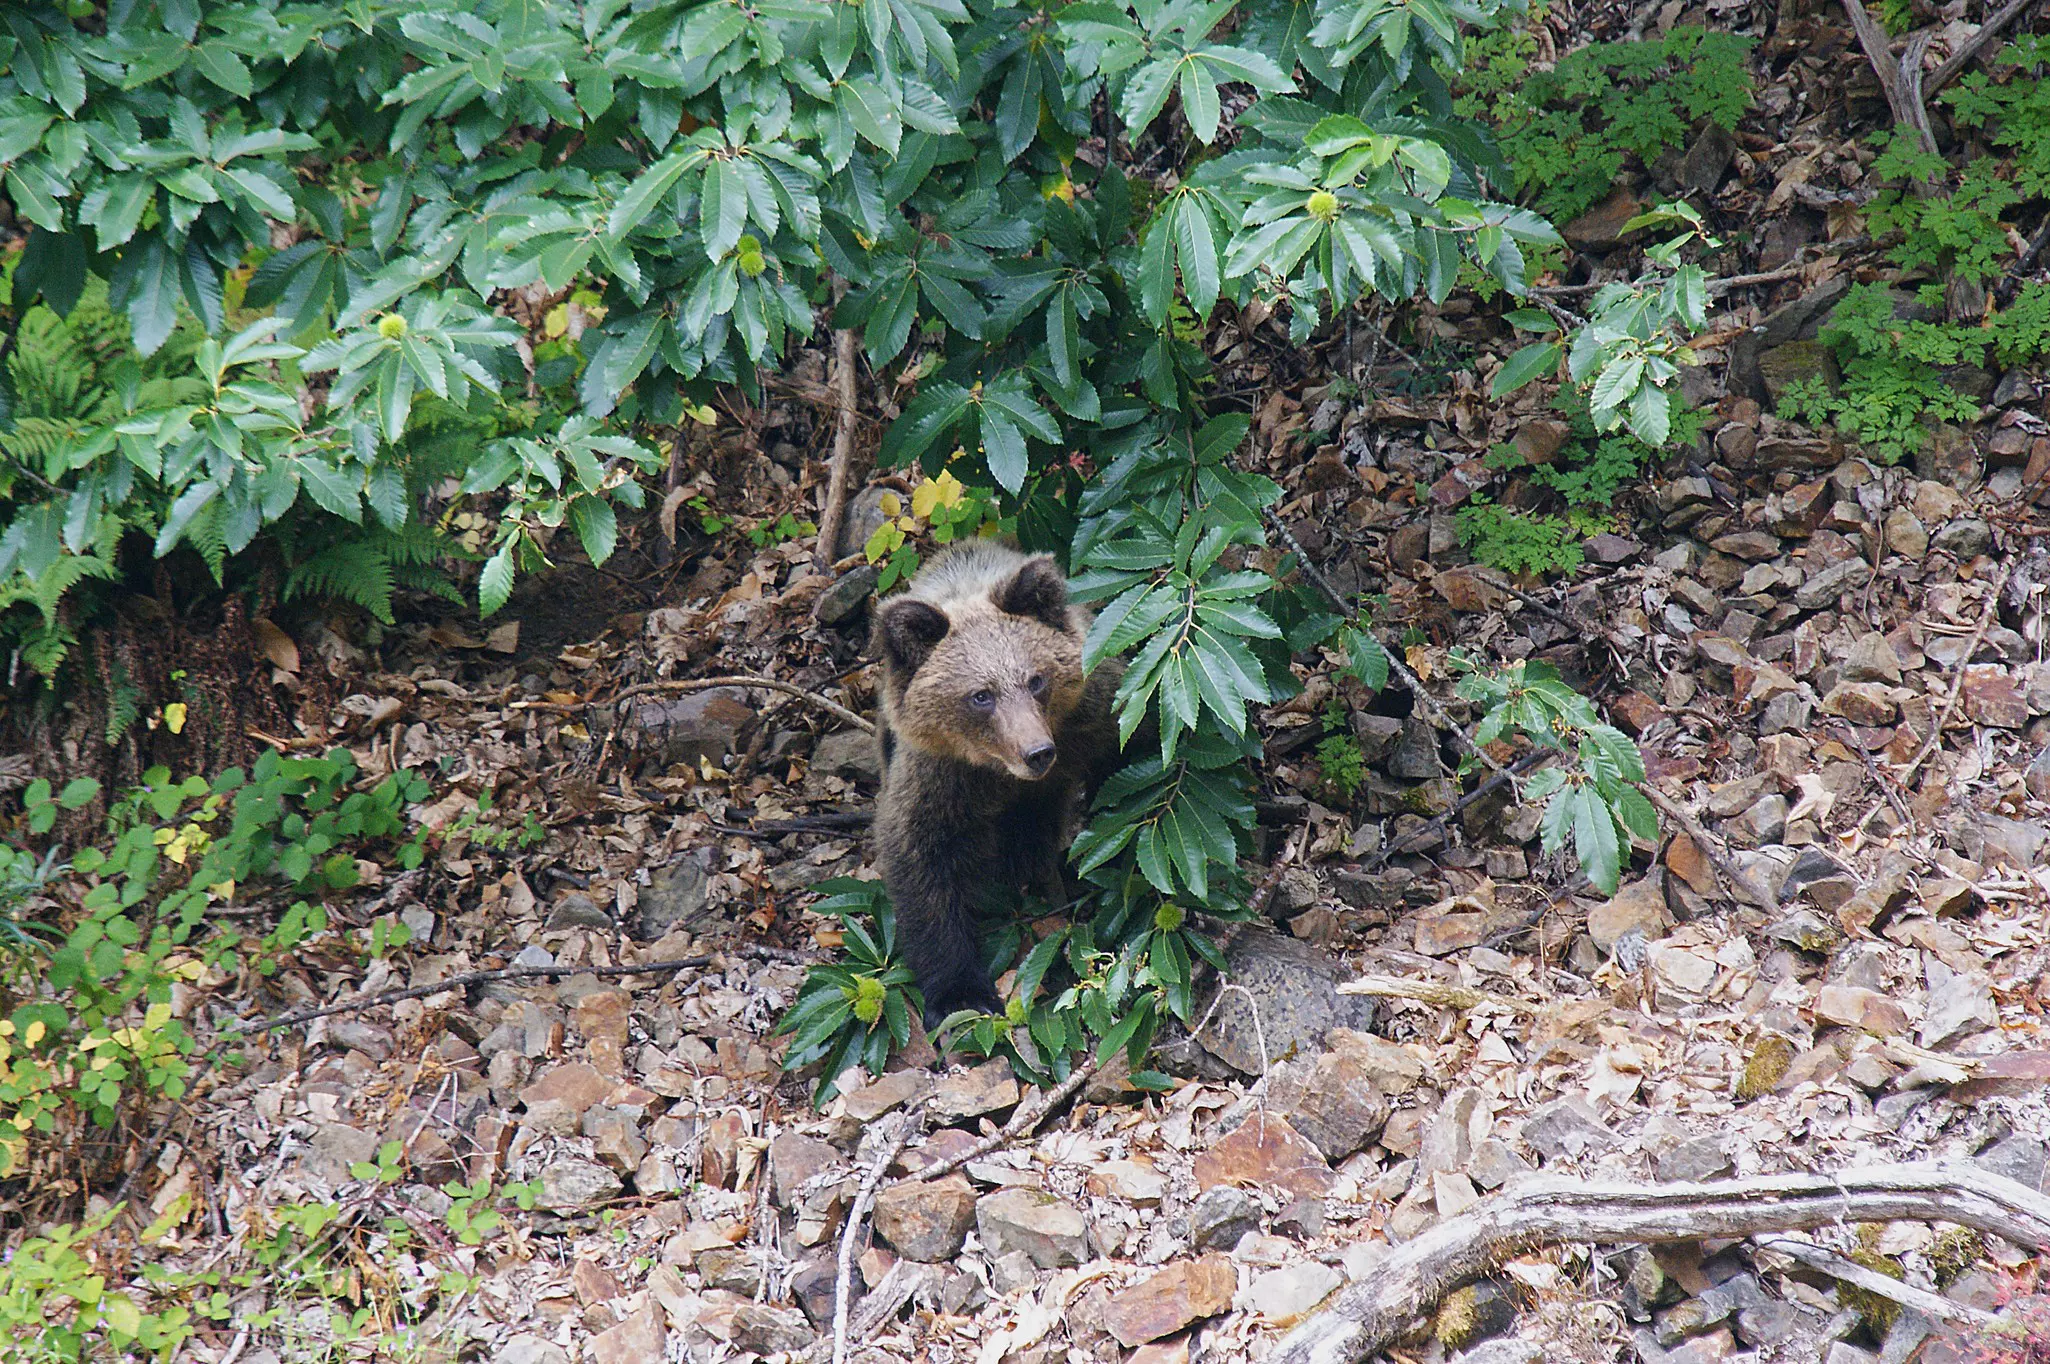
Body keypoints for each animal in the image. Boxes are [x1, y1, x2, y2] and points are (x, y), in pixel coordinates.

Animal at [870, 540, 1126, 1027]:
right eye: (980, 696)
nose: (1037, 752)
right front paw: (961, 992)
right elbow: (920, 855)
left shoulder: (1093, 715)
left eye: (1036, 679)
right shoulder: (938, 774)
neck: (999, 771)